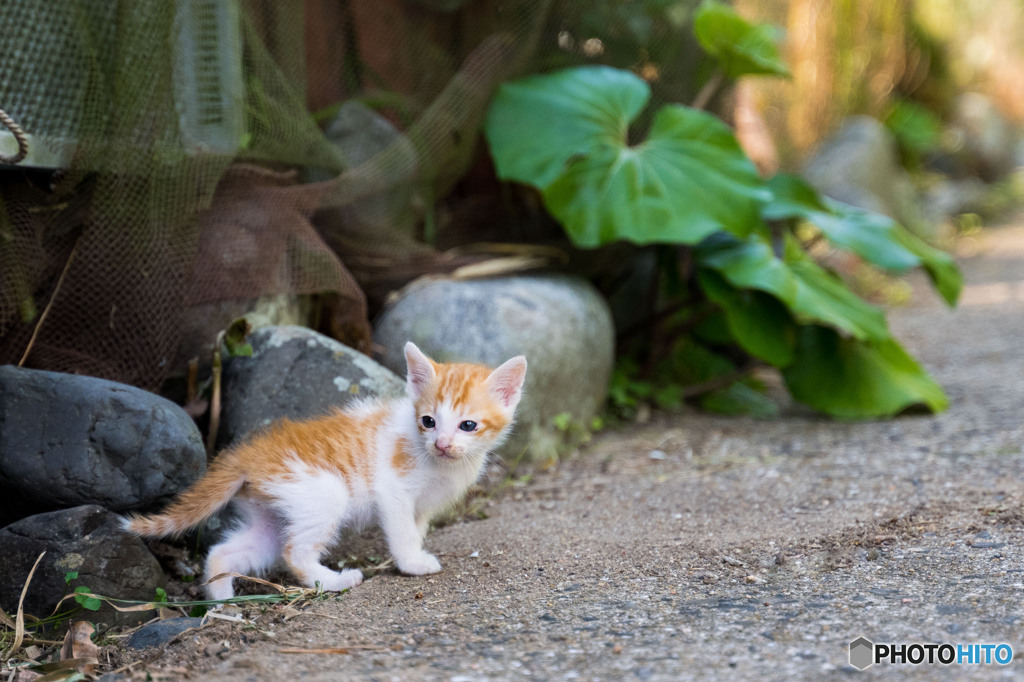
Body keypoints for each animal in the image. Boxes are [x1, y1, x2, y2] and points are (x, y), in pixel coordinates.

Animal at [124, 342, 528, 598]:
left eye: (468, 426)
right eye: (428, 421)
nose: (442, 443)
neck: (440, 461)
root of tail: (248, 455)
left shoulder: (424, 505)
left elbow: (416, 527)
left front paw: (415, 552)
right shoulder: (393, 491)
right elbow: (401, 531)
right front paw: (412, 562)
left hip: (274, 510)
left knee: (225, 552)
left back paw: (223, 604)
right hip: (322, 493)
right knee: (295, 552)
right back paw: (334, 581)